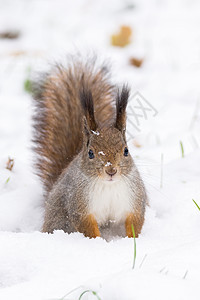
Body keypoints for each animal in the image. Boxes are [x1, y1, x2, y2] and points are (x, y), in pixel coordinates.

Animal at [32, 56, 148, 238]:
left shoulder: (134, 200)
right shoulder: (79, 206)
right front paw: (97, 241)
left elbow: (135, 221)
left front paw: (132, 240)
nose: (111, 170)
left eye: (126, 151)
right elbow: (87, 226)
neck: (109, 186)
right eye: (91, 153)